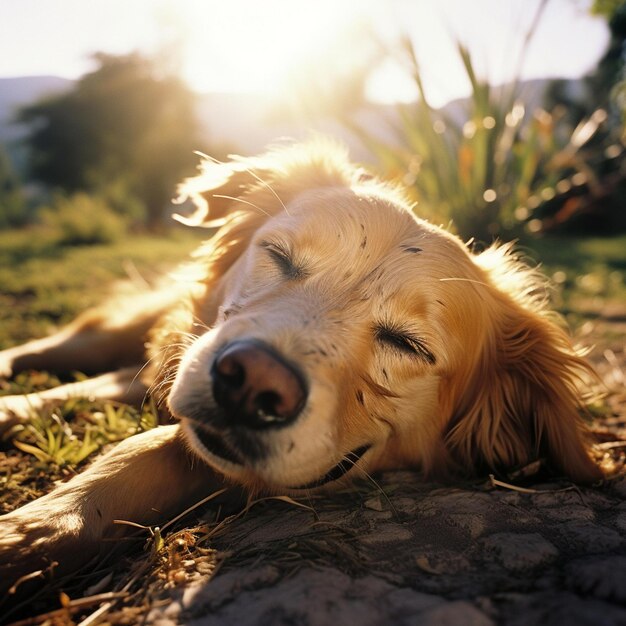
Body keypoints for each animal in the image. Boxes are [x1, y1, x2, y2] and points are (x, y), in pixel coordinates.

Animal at [0, 139, 604, 592]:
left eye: (408, 344)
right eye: (279, 257)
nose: (250, 385)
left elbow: (152, 445)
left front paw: (32, 532)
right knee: (82, 346)